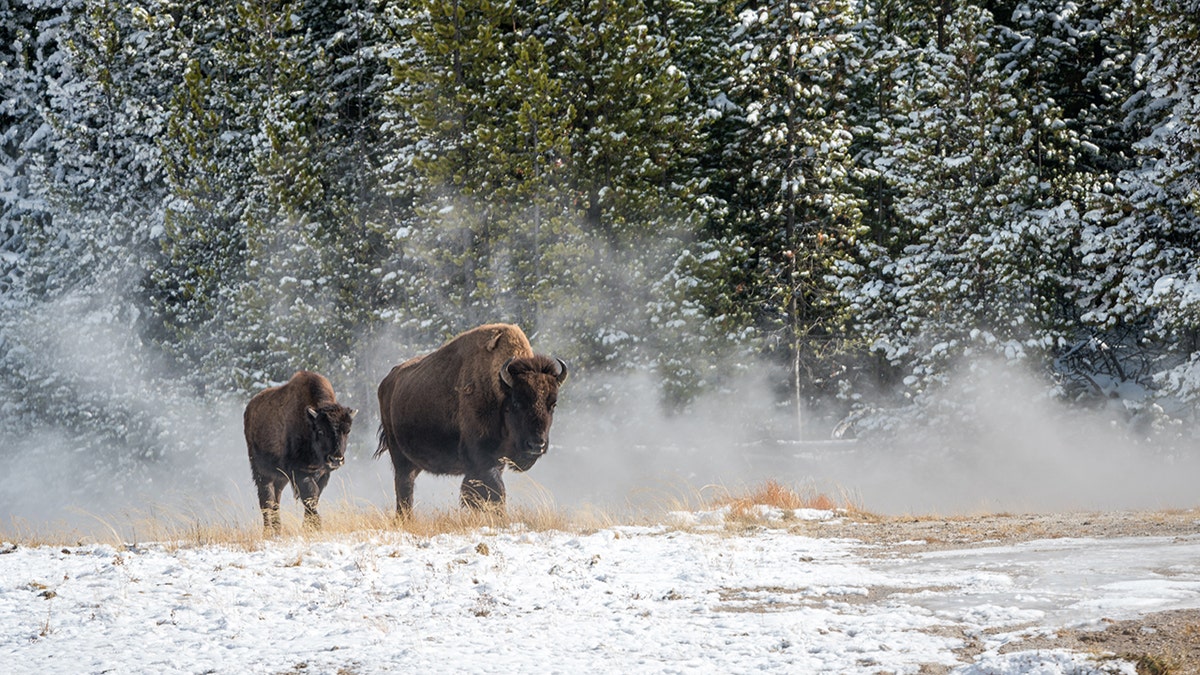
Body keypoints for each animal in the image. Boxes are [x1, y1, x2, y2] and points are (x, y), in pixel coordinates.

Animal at [243, 369, 355, 533]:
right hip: (261, 472)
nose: (336, 459)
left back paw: (277, 529)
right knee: (266, 500)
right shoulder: (300, 472)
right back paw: (268, 531)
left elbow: (314, 498)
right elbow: (310, 496)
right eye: (320, 430)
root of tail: (249, 409)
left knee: (276, 499)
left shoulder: (323, 474)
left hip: (280, 477)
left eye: (347, 431)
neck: (308, 424)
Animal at [376, 324, 568, 511]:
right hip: (400, 456)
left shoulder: (494, 461)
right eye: (516, 402)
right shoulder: (481, 459)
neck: (499, 390)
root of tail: (388, 381)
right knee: (404, 487)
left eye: (553, 405)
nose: (537, 445)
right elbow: (496, 491)